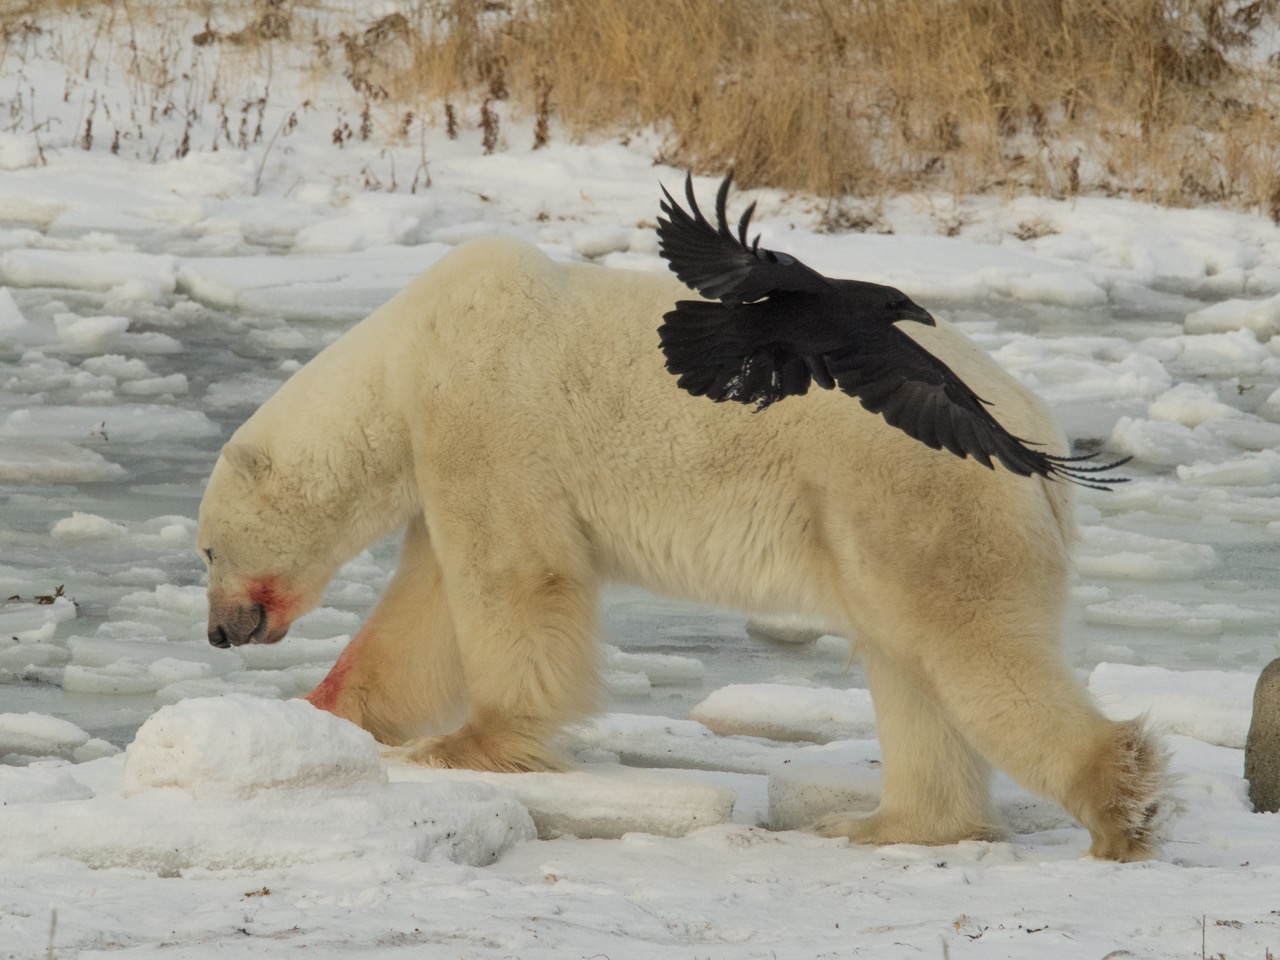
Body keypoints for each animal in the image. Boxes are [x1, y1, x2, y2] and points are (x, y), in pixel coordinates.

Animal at [197, 236, 1168, 860]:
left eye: (204, 551)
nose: (218, 632)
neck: (404, 356)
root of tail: (1040, 438)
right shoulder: (448, 457)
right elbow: (424, 610)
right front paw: (326, 709)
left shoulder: (485, 419)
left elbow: (515, 579)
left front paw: (467, 744)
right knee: (910, 667)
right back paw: (889, 825)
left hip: (918, 498)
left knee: (970, 645)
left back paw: (1121, 803)